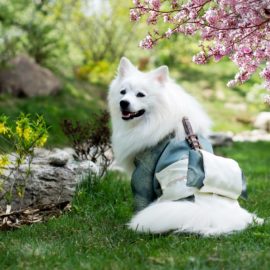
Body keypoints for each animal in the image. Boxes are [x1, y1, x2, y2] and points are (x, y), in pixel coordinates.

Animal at [107, 57, 262, 236]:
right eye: (123, 92)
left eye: (140, 95)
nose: (123, 103)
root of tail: (208, 211)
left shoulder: (143, 172)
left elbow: (141, 199)